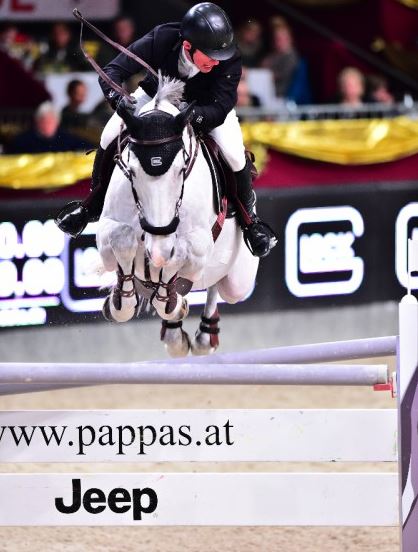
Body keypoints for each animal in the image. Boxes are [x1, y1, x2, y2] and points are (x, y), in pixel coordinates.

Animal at [96, 74, 258, 358]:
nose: (160, 242)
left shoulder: (198, 244)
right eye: (131, 170)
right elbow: (123, 240)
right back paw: (174, 329)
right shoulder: (107, 231)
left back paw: (204, 333)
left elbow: (179, 256)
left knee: (217, 286)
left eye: (182, 169)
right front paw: (119, 302)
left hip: (238, 280)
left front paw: (174, 298)